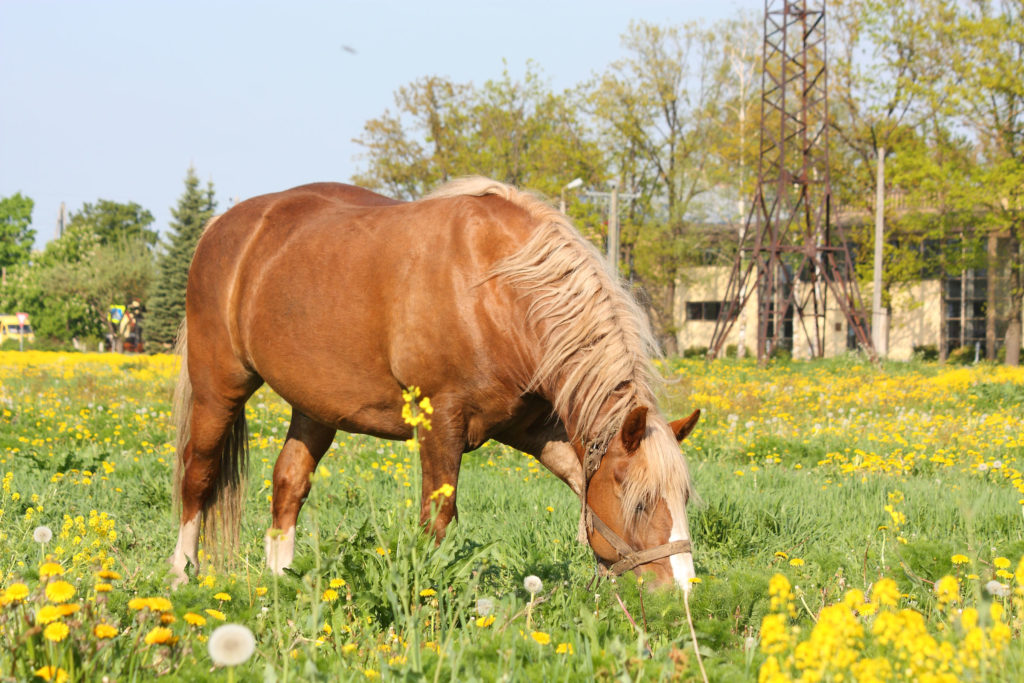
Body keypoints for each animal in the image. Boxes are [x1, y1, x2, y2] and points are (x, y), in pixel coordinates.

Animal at [168, 177, 701, 591]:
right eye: (639, 504)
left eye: (683, 499)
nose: (682, 592)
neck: (501, 291)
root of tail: (224, 226)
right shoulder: (439, 422)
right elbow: (436, 520)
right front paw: (428, 593)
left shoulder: (539, 431)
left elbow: (579, 485)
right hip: (220, 386)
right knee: (198, 475)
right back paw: (181, 574)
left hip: (314, 408)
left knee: (288, 485)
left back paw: (282, 583)